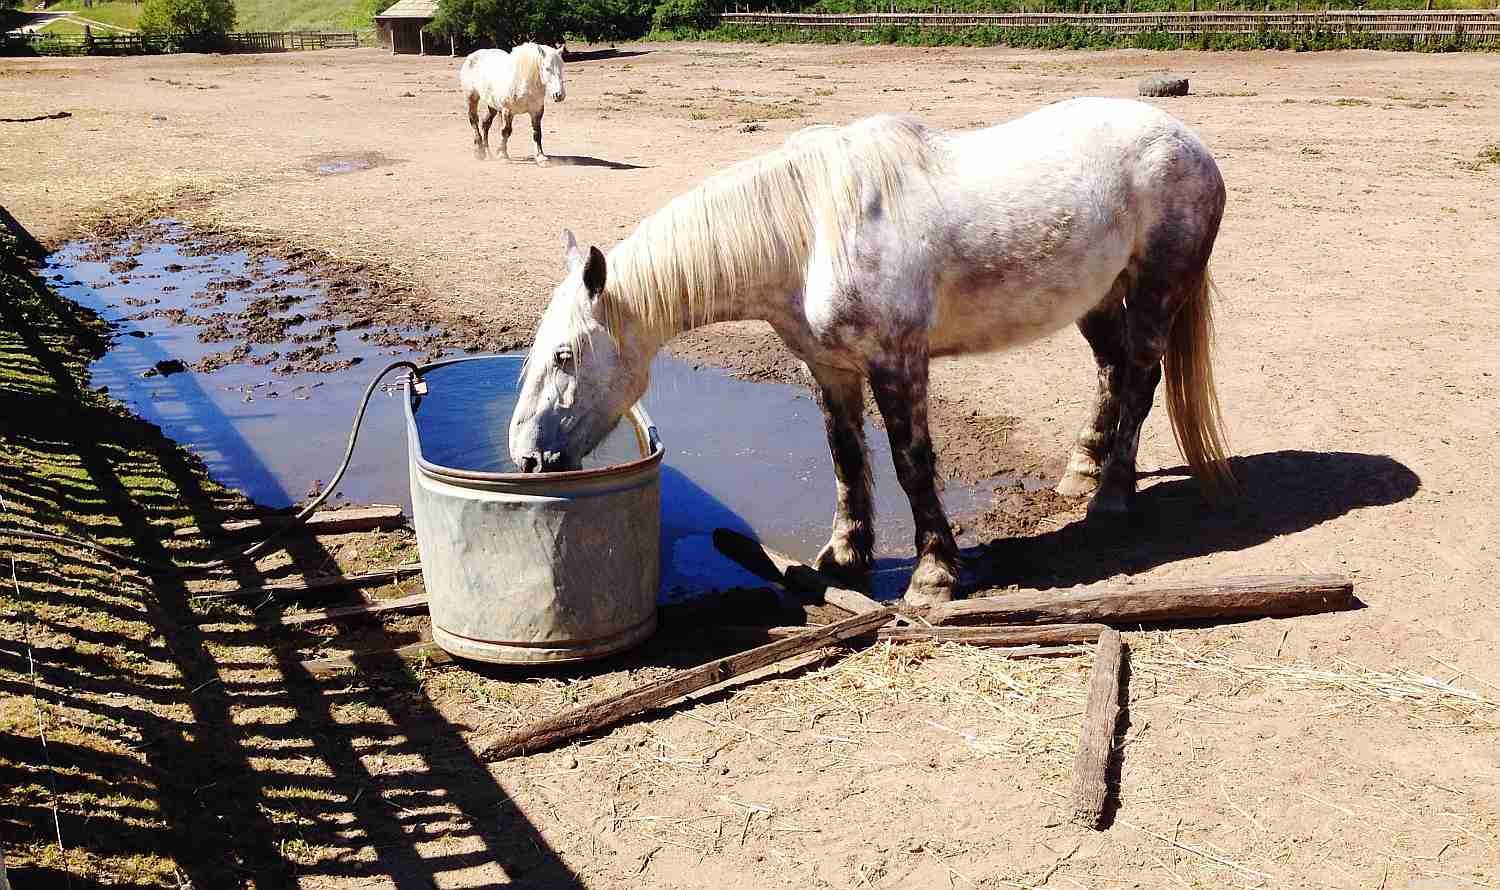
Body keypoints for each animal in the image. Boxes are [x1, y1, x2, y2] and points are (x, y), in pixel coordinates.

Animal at [509, 98, 1233, 606]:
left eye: (565, 356)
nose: (527, 459)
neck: (809, 231)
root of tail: (1189, 141)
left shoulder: (898, 364)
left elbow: (910, 463)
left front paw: (934, 575)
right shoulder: (828, 369)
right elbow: (846, 457)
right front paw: (845, 557)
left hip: (1156, 290)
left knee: (1139, 380)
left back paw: (1111, 495)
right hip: (1096, 298)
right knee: (1111, 371)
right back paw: (1082, 472)